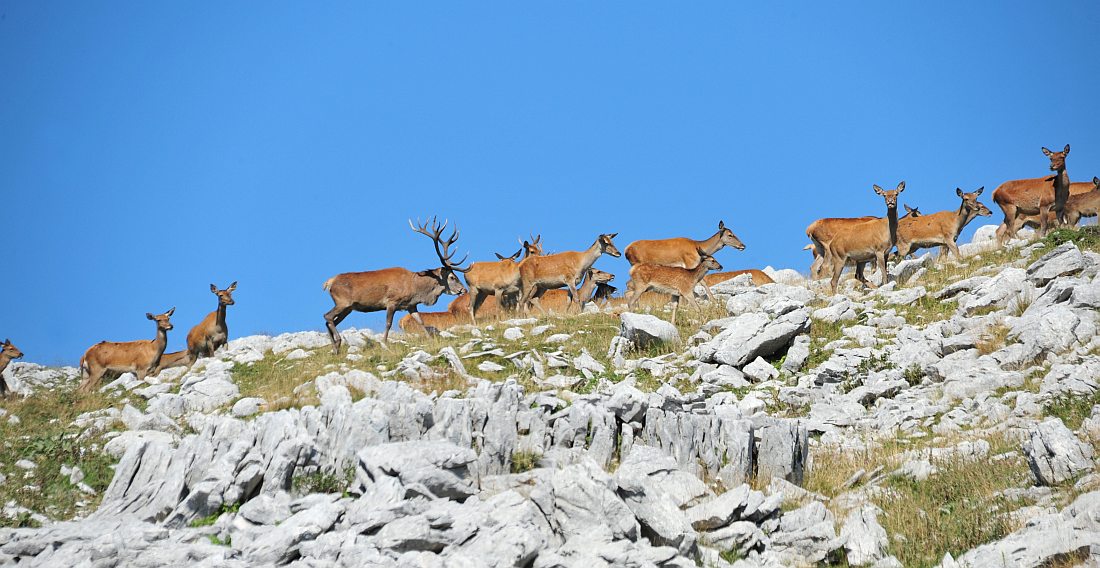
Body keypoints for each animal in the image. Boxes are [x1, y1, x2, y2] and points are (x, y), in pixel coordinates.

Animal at [321, 216, 468, 350]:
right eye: (452, 277)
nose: (464, 290)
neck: (415, 289)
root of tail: (329, 282)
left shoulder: (411, 305)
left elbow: (420, 321)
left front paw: (431, 340)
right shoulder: (392, 301)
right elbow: (388, 323)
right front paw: (384, 343)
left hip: (348, 308)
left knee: (330, 321)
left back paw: (335, 347)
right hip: (342, 302)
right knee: (327, 316)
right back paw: (337, 341)